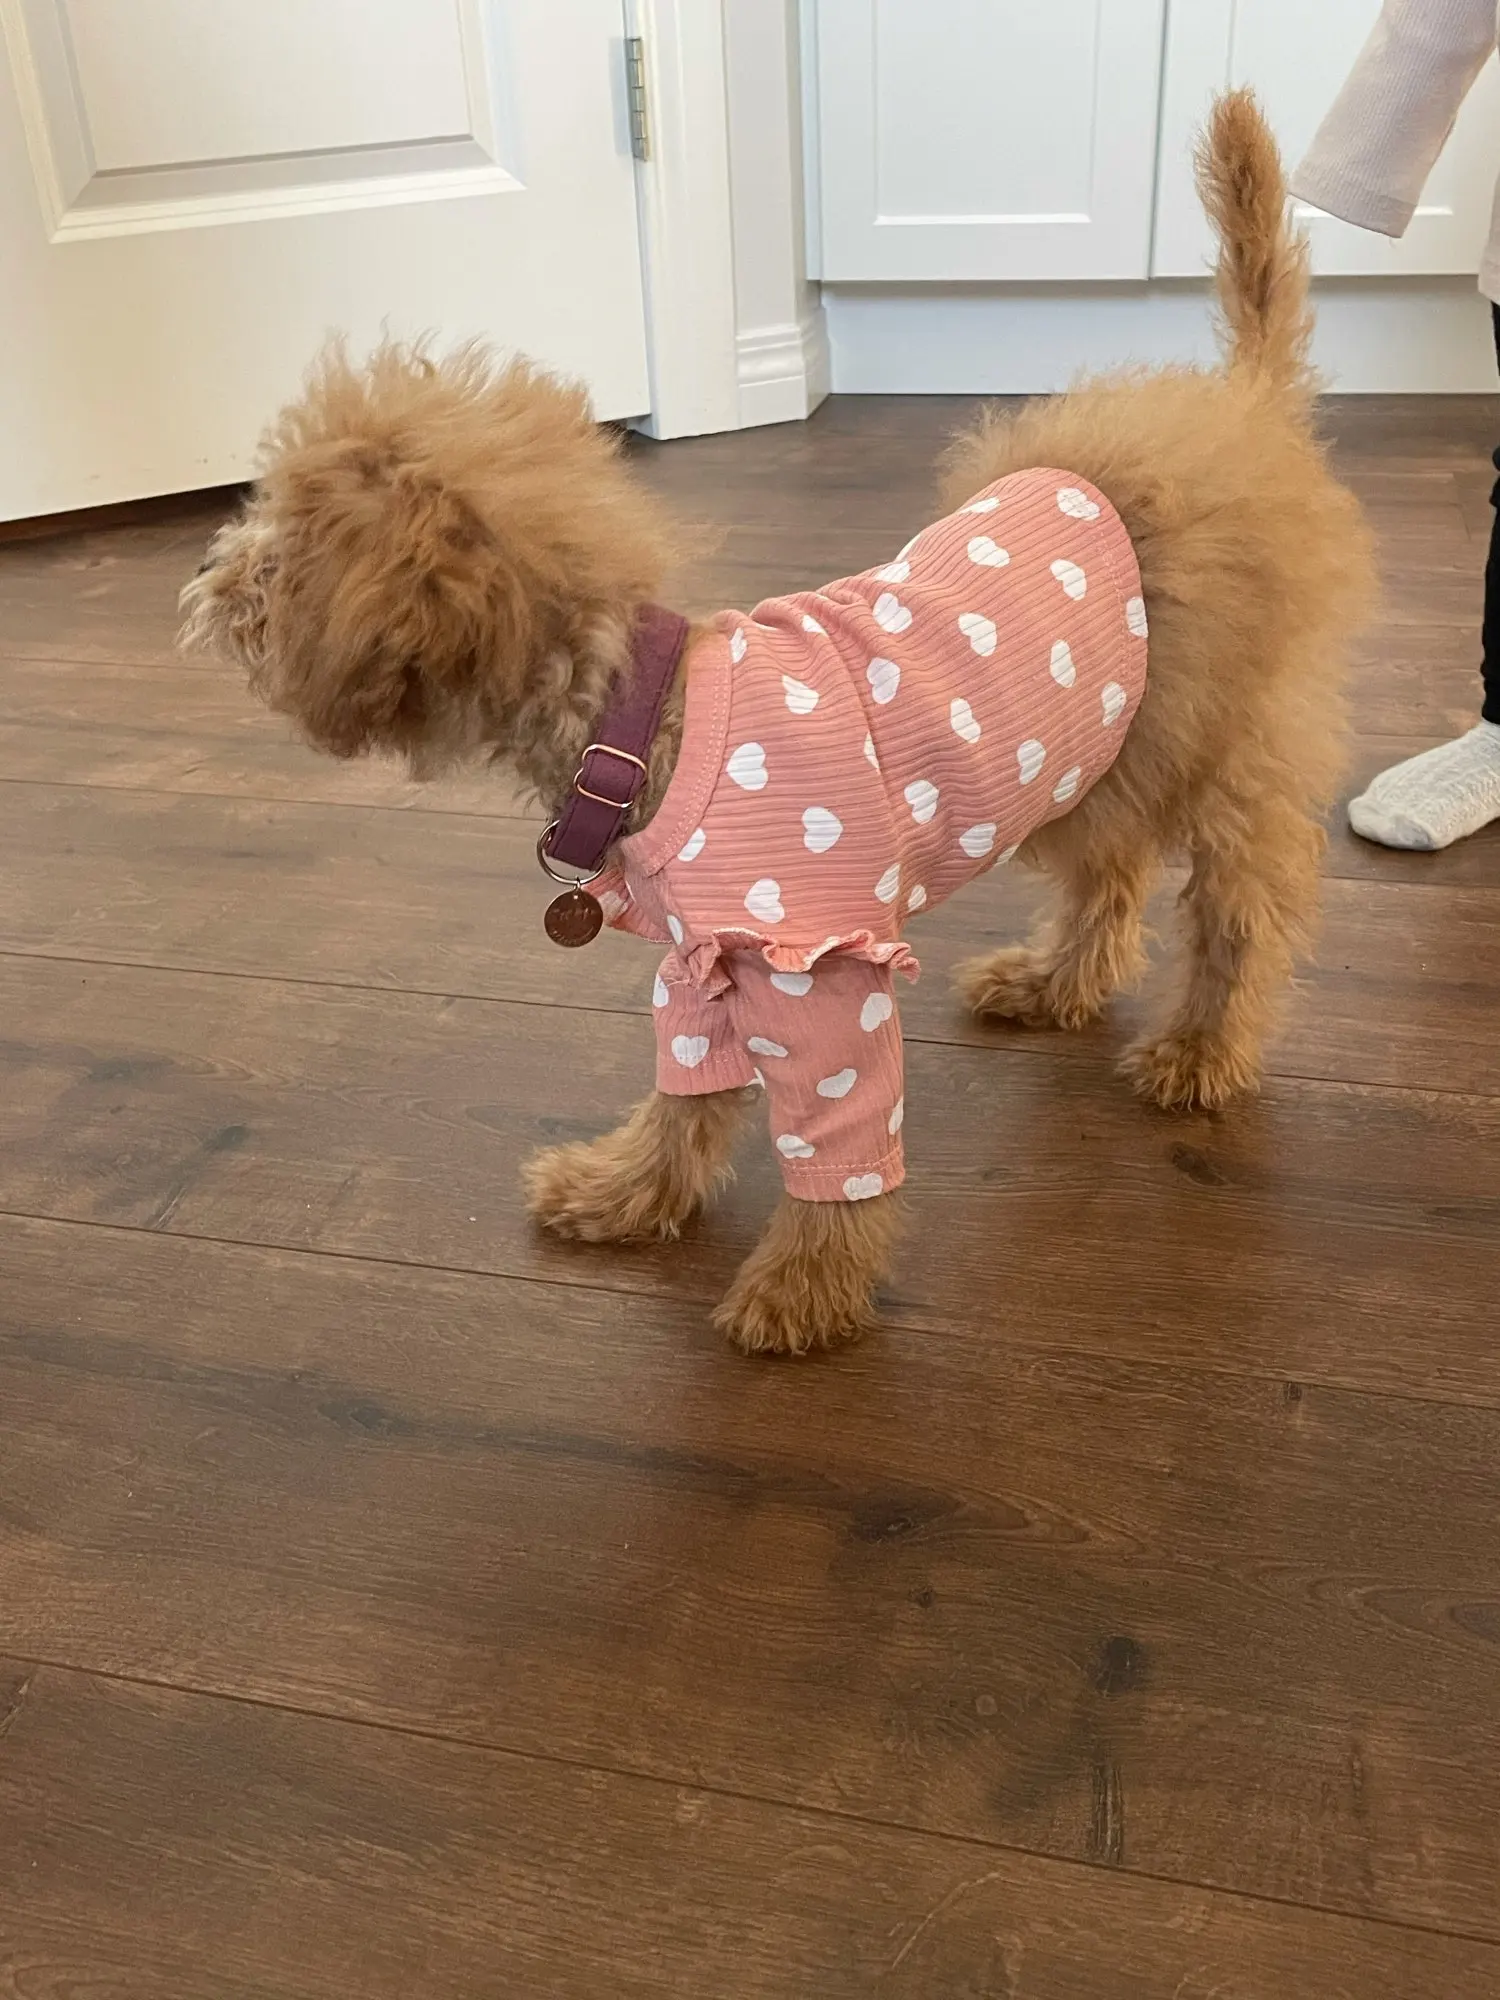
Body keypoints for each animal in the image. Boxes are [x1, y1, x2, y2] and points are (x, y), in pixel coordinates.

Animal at [181, 92, 1375, 1357]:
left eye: (280, 549)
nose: (206, 579)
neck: (645, 718)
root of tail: (1241, 406)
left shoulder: (822, 975)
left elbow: (837, 1151)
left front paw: (804, 1288)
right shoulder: (698, 963)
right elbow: (683, 1097)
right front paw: (626, 1192)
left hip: (1226, 750)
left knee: (1246, 911)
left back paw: (1203, 1048)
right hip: (1095, 755)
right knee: (1113, 872)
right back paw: (1057, 985)